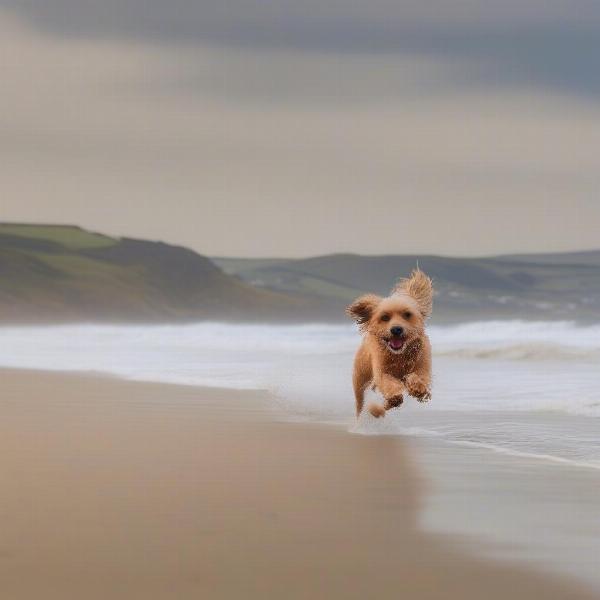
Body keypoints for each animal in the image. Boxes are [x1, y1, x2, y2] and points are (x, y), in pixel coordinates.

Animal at [344, 270, 434, 418]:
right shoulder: (381, 371)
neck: (399, 356)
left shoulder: (423, 365)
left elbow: (419, 377)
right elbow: (388, 382)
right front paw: (396, 395)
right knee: (360, 402)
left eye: (407, 314)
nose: (396, 329)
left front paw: (417, 388)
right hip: (360, 380)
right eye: (385, 317)